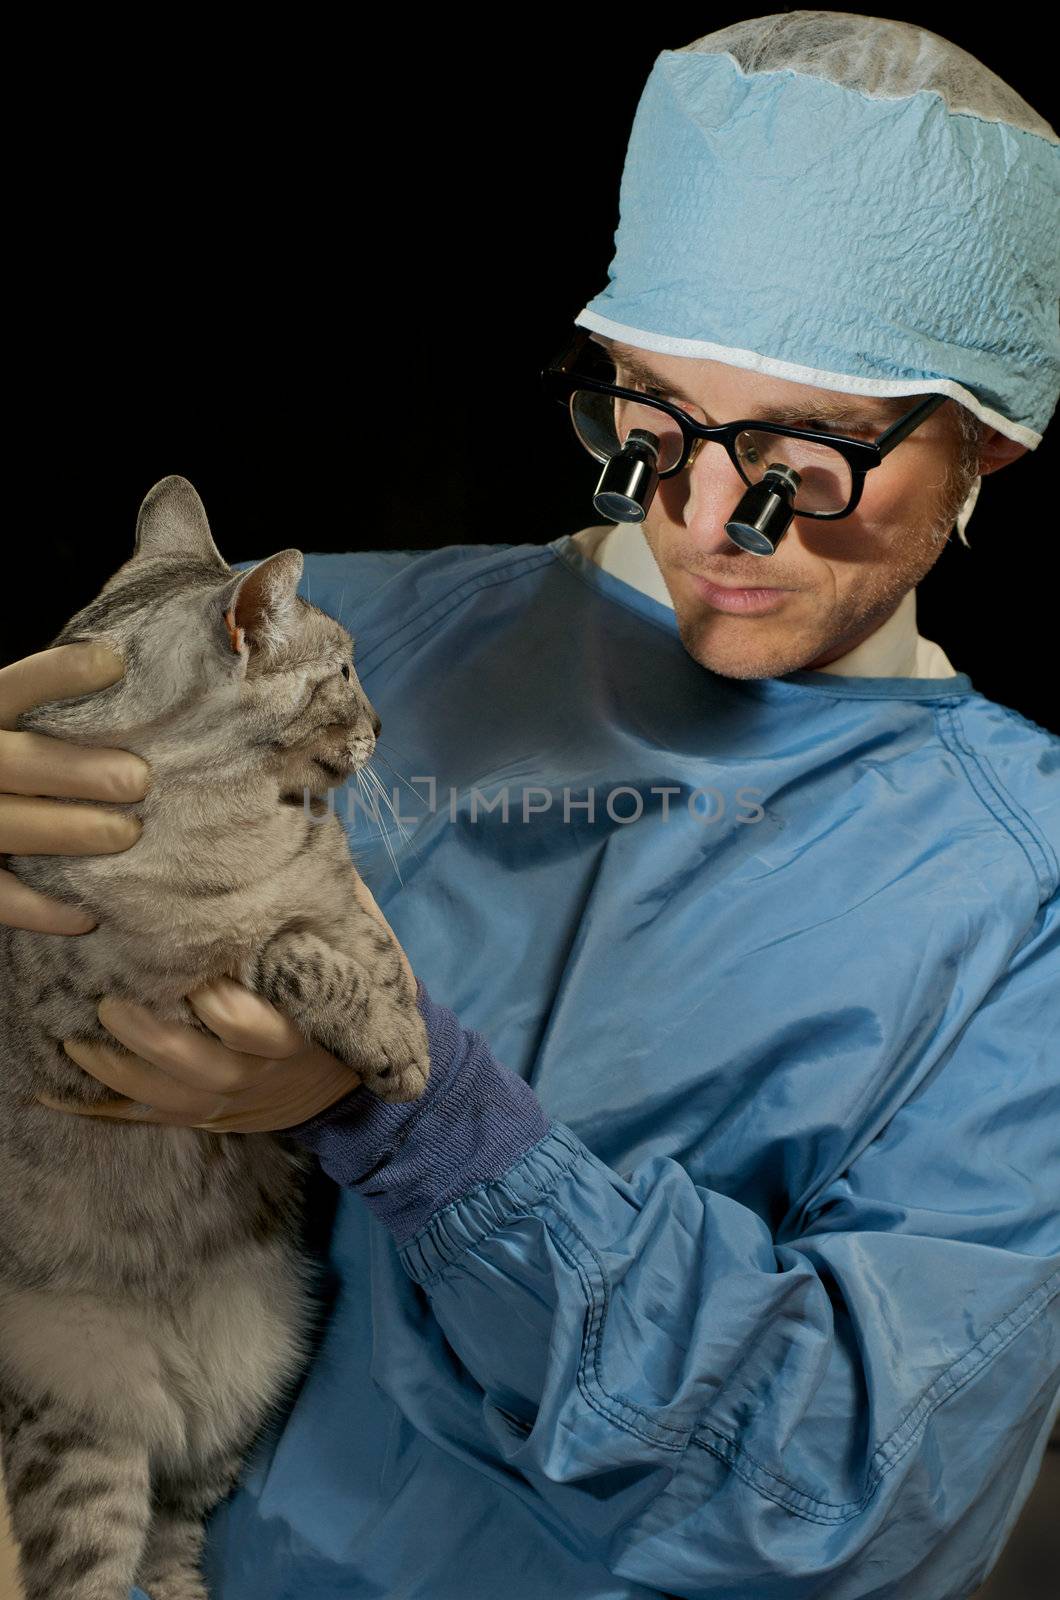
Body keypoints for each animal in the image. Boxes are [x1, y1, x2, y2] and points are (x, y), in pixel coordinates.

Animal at [1, 476, 432, 1600]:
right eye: (343, 672)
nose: (385, 721)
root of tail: (175, 1389)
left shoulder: (337, 878)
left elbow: (373, 939)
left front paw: (410, 1039)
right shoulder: (130, 1003)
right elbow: (280, 951)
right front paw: (388, 1044)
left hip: (245, 1400)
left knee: (176, 1534)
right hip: (80, 1455)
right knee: (98, 1570)